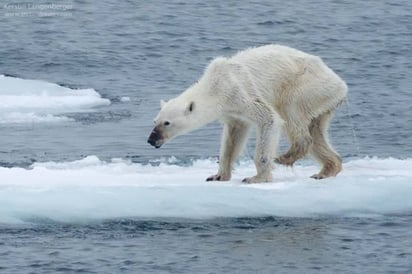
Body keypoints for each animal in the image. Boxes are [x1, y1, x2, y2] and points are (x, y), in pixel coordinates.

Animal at [148, 45, 348, 183]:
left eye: (167, 123)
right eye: (155, 121)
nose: (151, 139)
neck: (215, 85)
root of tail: (341, 84)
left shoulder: (240, 92)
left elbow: (269, 119)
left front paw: (256, 178)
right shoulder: (231, 111)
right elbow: (233, 137)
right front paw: (218, 175)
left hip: (306, 86)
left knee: (291, 112)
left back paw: (286, 156)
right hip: (323, 100)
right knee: (316, 131)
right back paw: (326, 170)